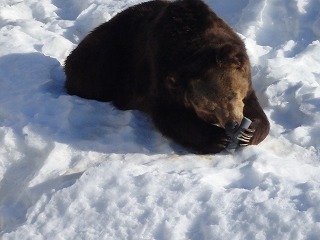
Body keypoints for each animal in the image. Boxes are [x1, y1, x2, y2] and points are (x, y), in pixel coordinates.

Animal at [64, 0, 270, 154]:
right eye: (209, 106)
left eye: (231, 94)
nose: (233, 125)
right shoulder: (160, 77)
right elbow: (169, 116)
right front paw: (218, 138)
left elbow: (254, 106)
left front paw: (250, 132)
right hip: (108, 57)